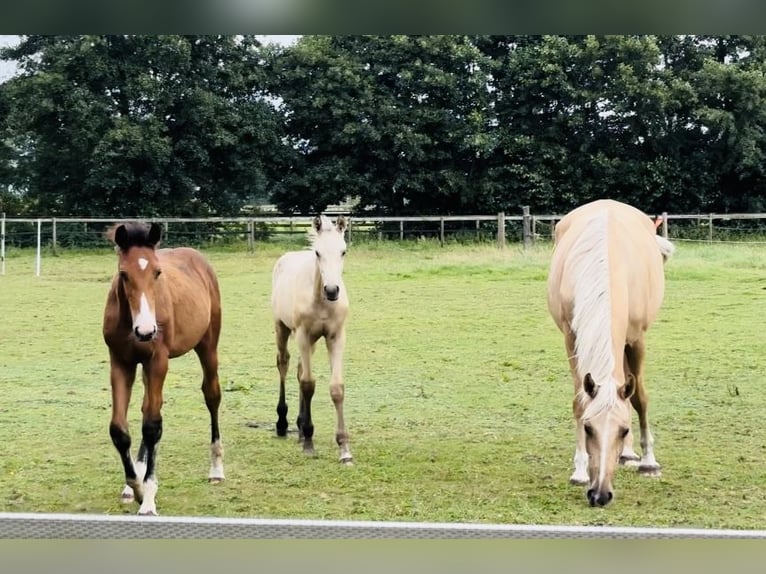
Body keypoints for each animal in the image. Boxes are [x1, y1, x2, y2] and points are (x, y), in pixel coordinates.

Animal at [102, 222, 224, 516]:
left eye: (157, 272)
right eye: (124, 274)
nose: (146, 331)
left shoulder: (158, 361)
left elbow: (152, 426)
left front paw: (147, 498)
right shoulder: (120, 361)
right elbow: (119, 429)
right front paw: (133, 486)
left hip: (208, 345)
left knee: (212, 395)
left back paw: (216, 469)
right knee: (146, 406)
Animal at [272, 214, 352, 466]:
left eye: (343, 251)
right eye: (317, 252)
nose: (332, 290)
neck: (321, 301)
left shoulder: (335, 336)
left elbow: (336, 388)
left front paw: (344, 448)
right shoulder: (303, 335)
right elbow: (308, 384)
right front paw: (308, 442)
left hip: (312, 341)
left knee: (298, 371)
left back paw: (299, 425)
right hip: (282, 328)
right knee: (284, 364)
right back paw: (283, 424)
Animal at [544, 199, 680, 508]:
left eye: (624, 430)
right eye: (588, 428)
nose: (600, 494)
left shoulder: (637, 339)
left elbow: (639, 398)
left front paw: (649, 462)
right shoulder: (571, 338)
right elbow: (580, 401)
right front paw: (580, 470)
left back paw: (631, 456)